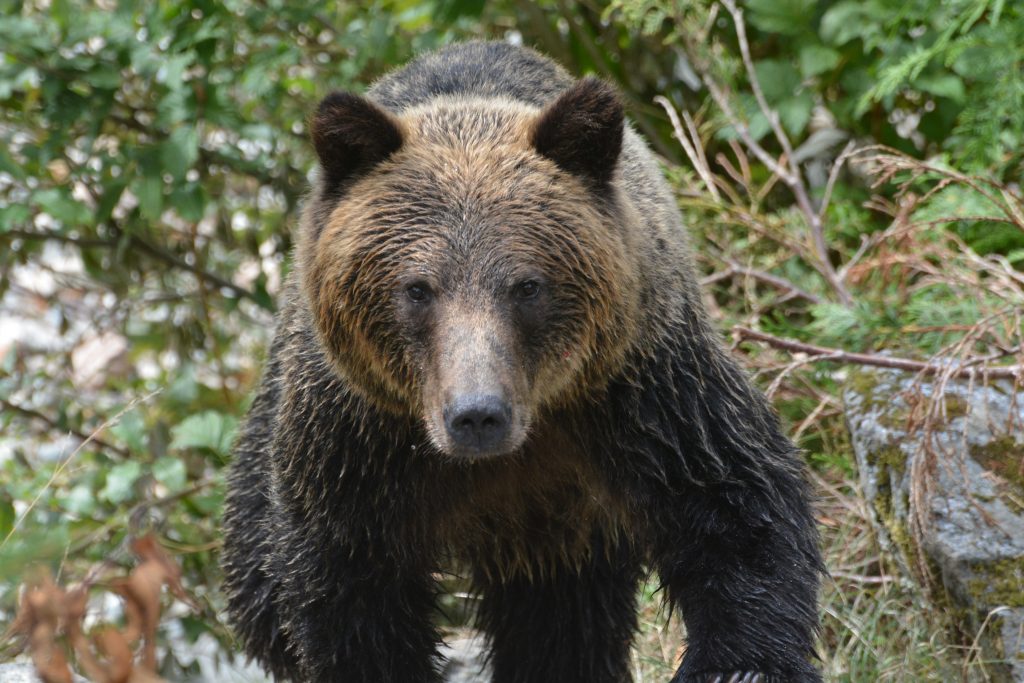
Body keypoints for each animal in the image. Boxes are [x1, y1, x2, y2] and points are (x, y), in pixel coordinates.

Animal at [222, 40, 823, 679]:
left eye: (527, 285)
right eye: (417, 288)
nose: (477, 414)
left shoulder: (644, 391)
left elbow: (739, 508)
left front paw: (741, 662)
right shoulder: (356, 443)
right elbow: (350, 595)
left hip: (566, 533)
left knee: (563, 623)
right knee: (258, 587)